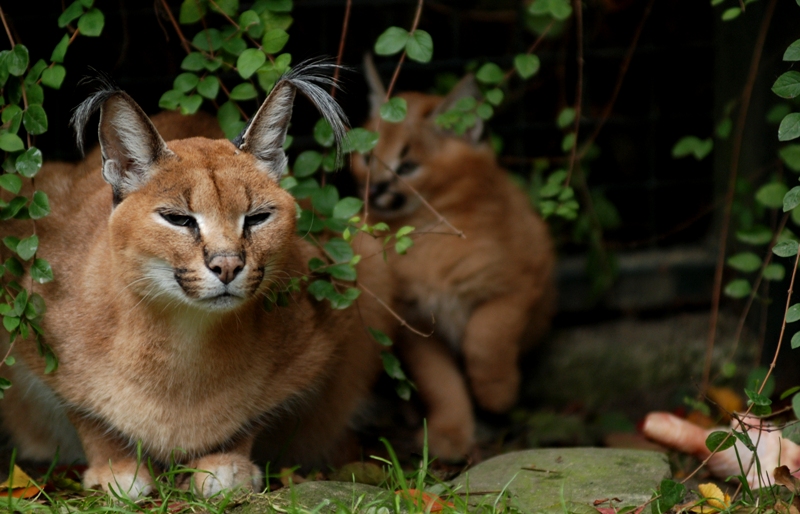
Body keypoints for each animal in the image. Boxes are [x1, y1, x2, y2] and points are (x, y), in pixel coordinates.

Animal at [0, 61, 393, 499]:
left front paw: (226, 461)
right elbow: (83, 410)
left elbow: (258, 409)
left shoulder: (317, 340)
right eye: (178, 219)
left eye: (258, 217)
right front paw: (115, 468)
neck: (185, 339)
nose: (227, 265)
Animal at [350, 57, 556, 460]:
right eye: (367, 157)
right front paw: (448, 434)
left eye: (407, 166)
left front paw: (497, 393)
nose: (377, 187)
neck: (425, 233)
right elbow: (439, 380)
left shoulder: (521, 284)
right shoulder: (413, 320)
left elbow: (486, 337)